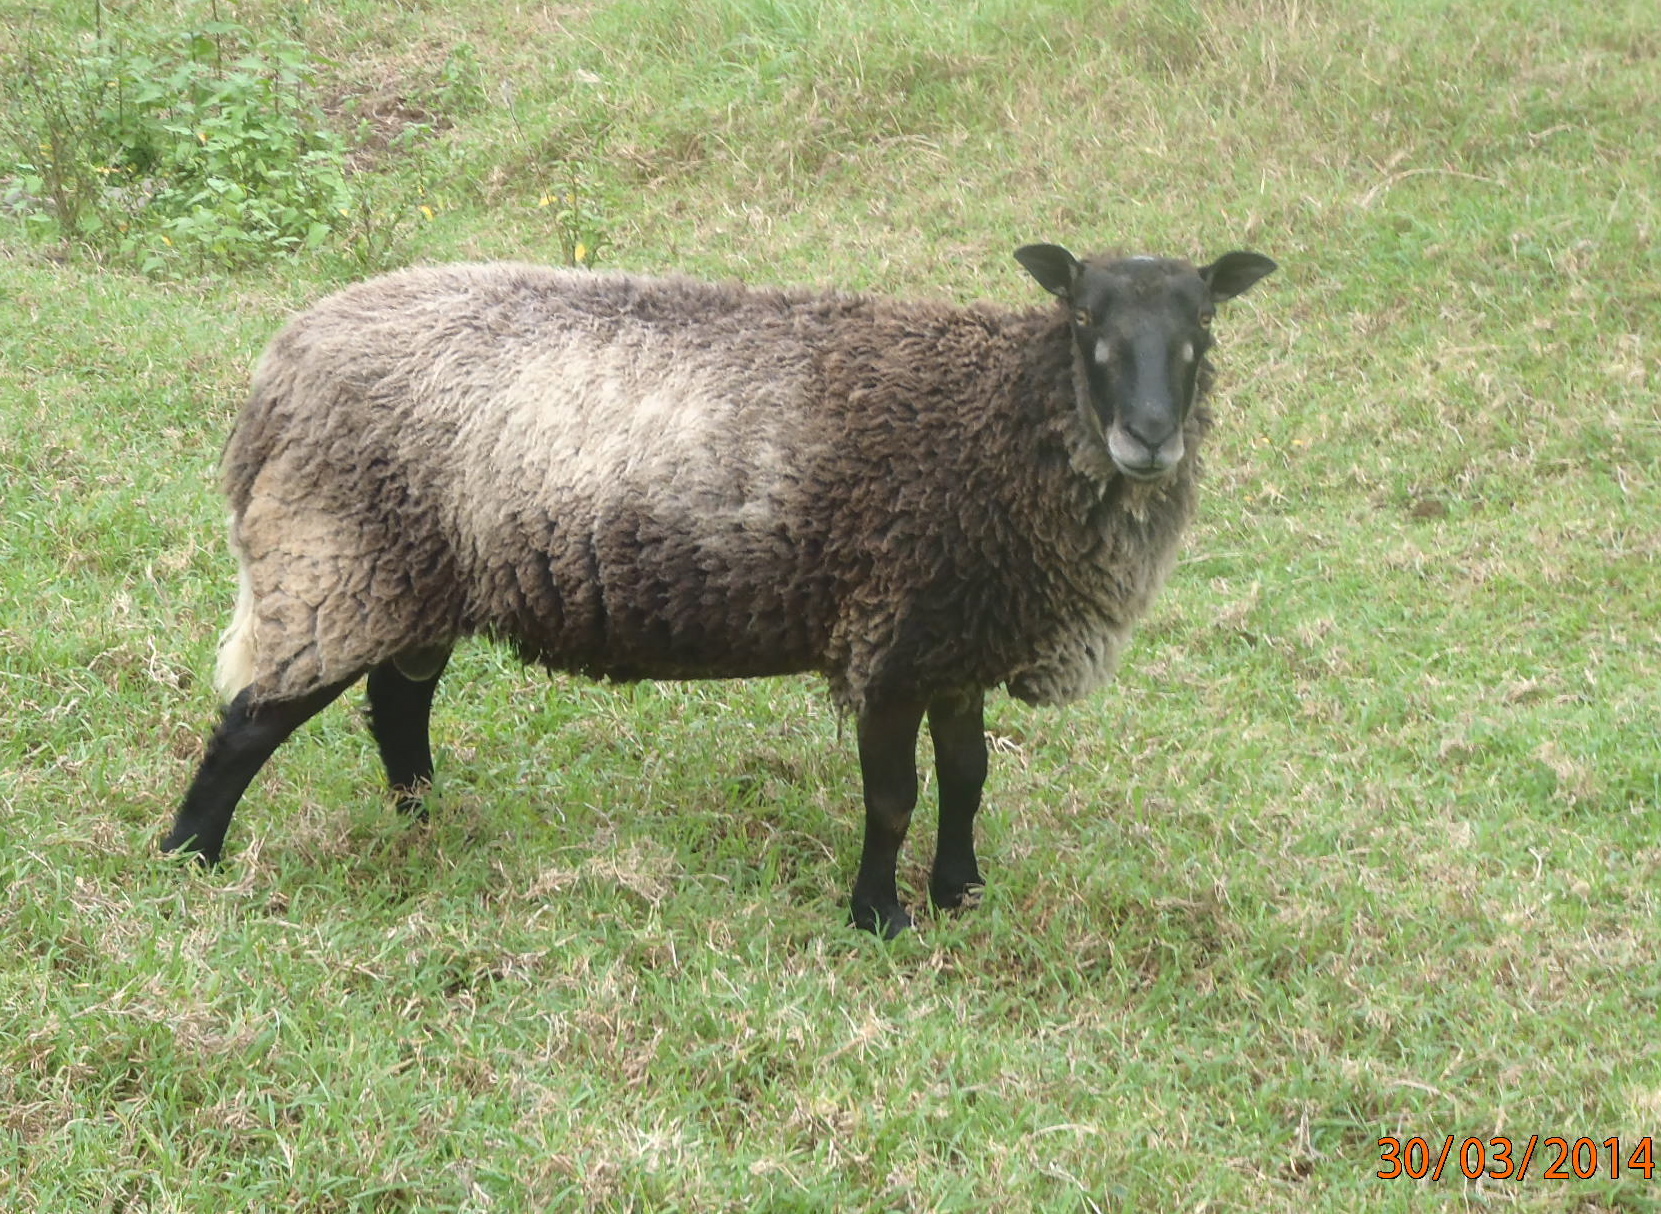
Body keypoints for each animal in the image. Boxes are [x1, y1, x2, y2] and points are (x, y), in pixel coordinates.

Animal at [165, 242, 1269, 936]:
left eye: (1204, 324)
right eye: (1083, 315)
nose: (1149, 437)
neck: (999, 419)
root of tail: (283, 366)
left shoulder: (957, 640)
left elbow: (967, 779)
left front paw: (960, 894)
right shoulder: (890, 634)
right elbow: (893, 795)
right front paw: (880, 916)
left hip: (413, 573)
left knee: (397, 704)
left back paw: (427, 820)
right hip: (337, 558)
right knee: (251, 720)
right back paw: (188, 860)